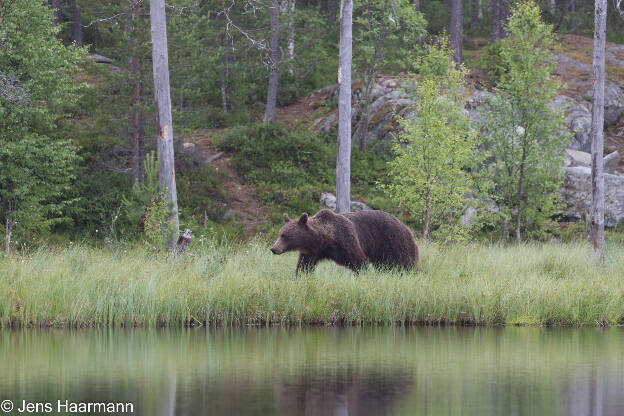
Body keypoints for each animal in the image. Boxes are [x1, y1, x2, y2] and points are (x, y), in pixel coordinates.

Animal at [270, 210, 420, 274]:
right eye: (279, 234)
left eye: (284, 236)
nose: (274, 248)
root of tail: (407, 227)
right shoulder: (312, 252)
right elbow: (304, 266)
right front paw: (300, 276)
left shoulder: (346, 240)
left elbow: (359, 261)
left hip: (394, 243)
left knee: (403, 264)